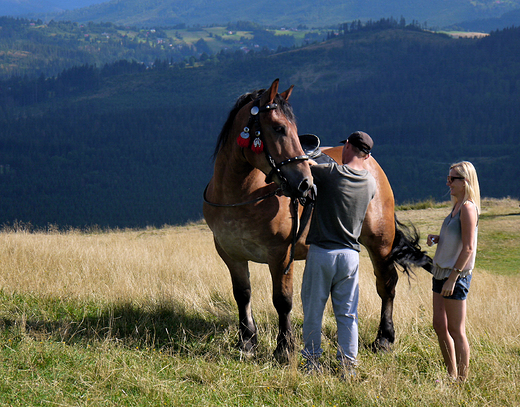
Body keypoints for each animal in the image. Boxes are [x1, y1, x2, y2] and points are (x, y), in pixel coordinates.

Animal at [203, 78, 430, 362]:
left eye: (293, 129)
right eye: (278, 128)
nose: (305, 184)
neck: (241, 194)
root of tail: (370, 162)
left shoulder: (280, 255)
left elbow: (283, 300)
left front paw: (284, 348)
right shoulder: (230, 253)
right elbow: (242, 295)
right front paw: (247, 342)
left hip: (380, 243)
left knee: (387, 284)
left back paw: (384, 338)